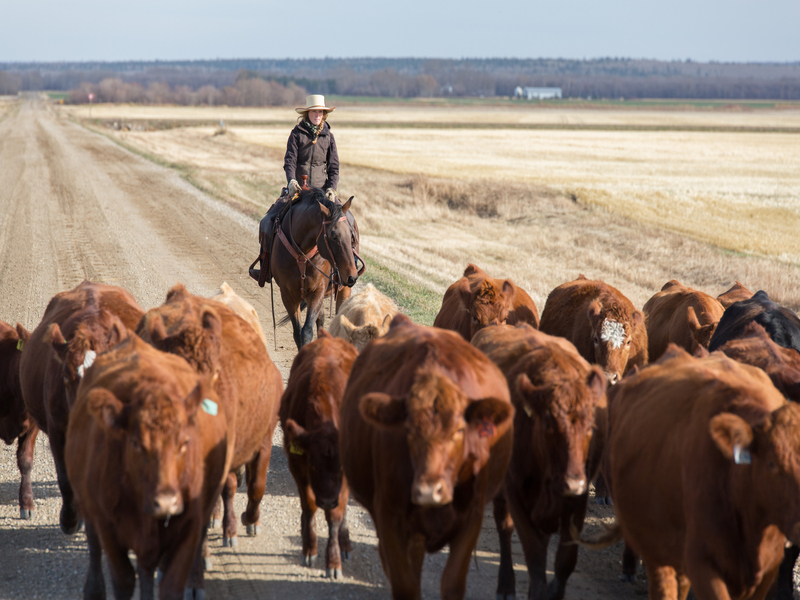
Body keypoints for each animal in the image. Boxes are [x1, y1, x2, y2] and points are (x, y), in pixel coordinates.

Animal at [66, 332, 230, 600]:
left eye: (185, 442)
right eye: (135, 443)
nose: (165, 502)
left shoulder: (189, 529)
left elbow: (170, 586)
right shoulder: (109, 529)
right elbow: (122, 580)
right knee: (95, 546)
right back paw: (93, 589)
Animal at [270, 187, 363, 349]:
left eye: (351, 235)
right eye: (333, 235)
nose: (352, 276)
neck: (301, 253)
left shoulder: (317, 291)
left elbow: (307, 331)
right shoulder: (287, 295)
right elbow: (298, 333)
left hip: (343, 289)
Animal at [279, 329, 358, 578]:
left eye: (340, 467)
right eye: (313, 463)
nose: (327, 500)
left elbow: (335, 516)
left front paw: (333, 561)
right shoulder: (297, 465)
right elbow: (309, 506)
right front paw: (310, 548)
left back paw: (345, 543)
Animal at [340, 314, 514, 600]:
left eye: (459, 431)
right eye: (408, 430)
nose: (428, 491)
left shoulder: (471, 518)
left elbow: (452, 582)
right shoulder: (390, 519)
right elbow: (406, 584)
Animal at [472, 324, 607, 600]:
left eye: (591, 427)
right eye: (548, 424)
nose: (573, 483)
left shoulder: (577, 502)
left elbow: (565, 560)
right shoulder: (516, 495)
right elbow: (534, 557)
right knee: (504, 528)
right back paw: (506, 586)